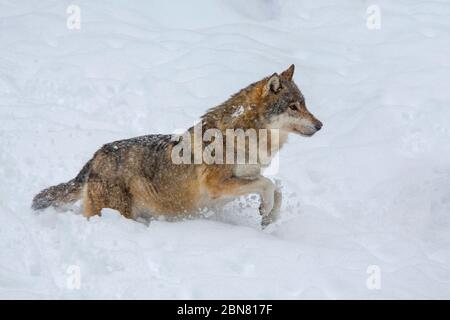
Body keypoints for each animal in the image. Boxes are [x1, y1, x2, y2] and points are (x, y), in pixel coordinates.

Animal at [33, 63, 324, 226]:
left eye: (305, 104)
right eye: (293, 106)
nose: (321, 125)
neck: (244, 136)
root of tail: (96, 155)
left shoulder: (243, 179)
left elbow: (278, 189)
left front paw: (268, 216)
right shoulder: (219, 185)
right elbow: (268, 184)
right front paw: (265, 209)